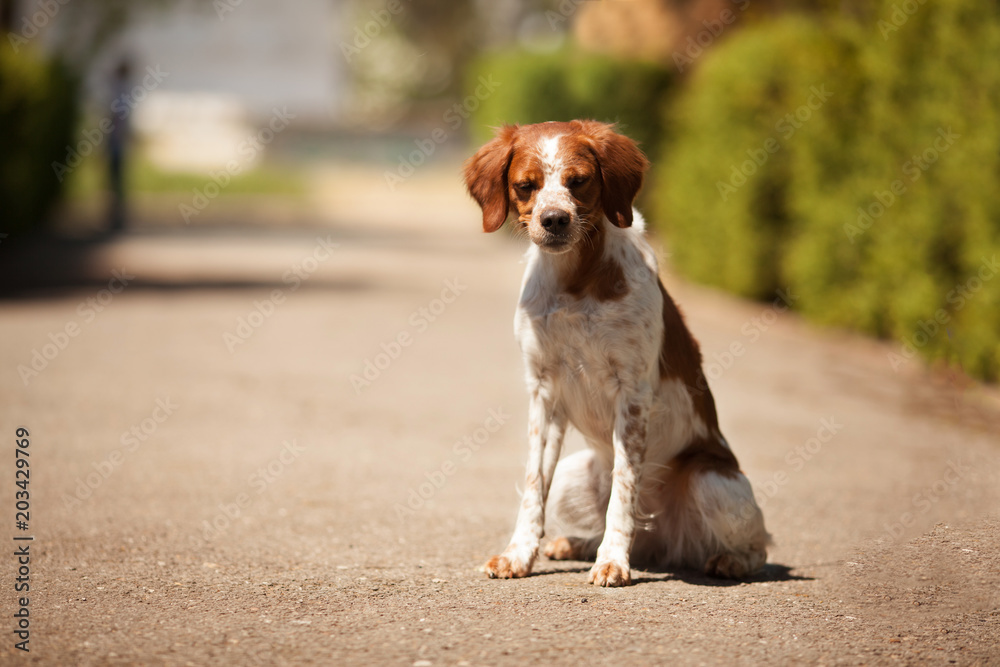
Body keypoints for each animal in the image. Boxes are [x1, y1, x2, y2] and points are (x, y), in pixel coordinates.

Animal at [464, 121, 768, 588]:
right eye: (525, 186)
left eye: (579, 181)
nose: (555, 219)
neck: (575, 281)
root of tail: (665, 545)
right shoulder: (543, 391)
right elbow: (533, 487)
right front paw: (518, 555)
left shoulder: (634, 393)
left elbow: (624, 490)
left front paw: (612, 561)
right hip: (572, 475)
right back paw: (573, 544)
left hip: (711, 479)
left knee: (759, 545)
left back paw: (729, 561)